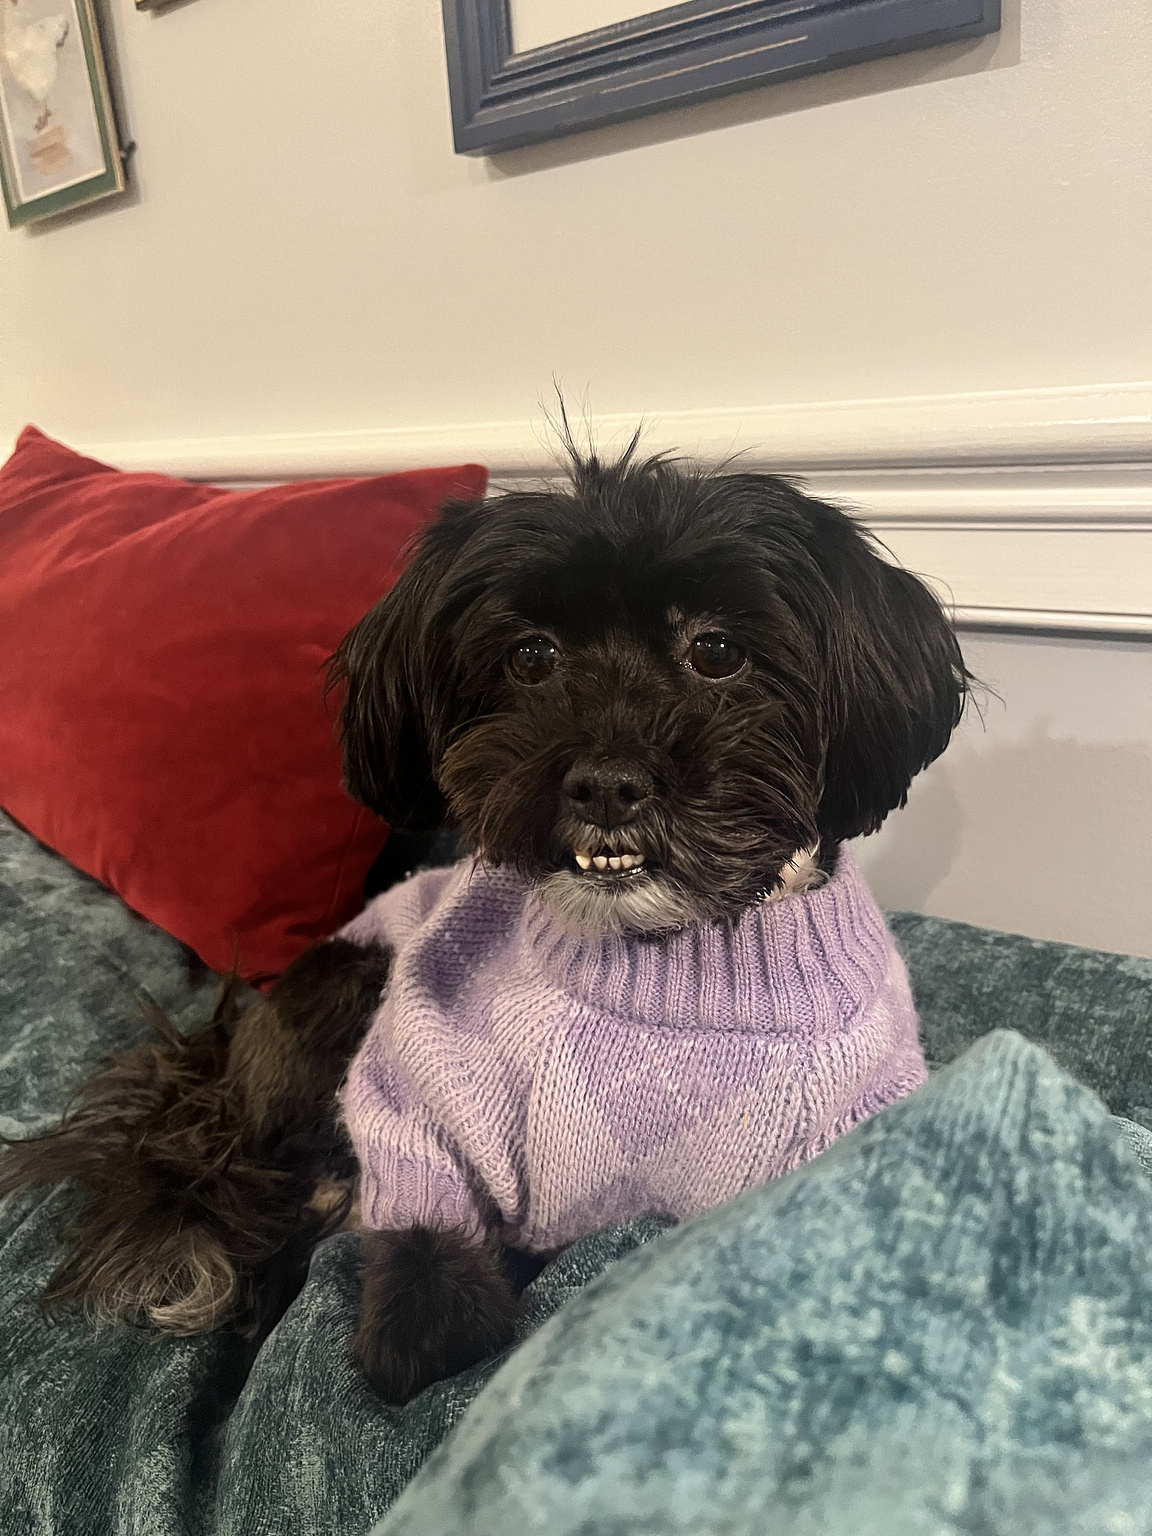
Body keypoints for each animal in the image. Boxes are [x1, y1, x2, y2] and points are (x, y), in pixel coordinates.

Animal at [0, 442, 976, 1406]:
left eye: (718, 649)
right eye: (531, 657)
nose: (605, 783)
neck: (665, 966)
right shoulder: (424, 1074)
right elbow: (424, 1200)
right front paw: (425, 1325)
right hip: (352, 981)